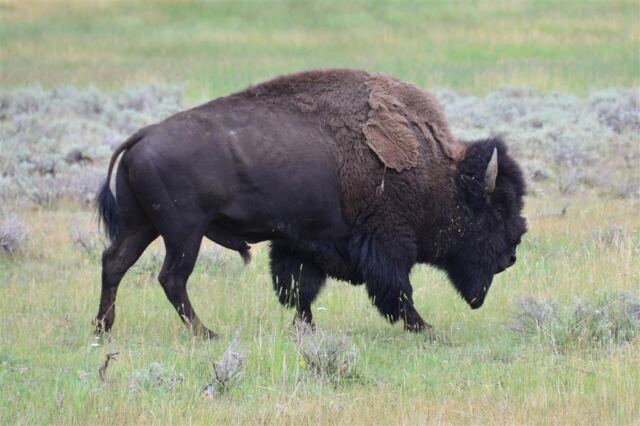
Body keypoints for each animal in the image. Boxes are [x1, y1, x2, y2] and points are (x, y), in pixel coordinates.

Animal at [94, 69, 527, 338]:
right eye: (496, 210)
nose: (511, 256)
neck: (437, 173)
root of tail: (142, 136)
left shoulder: (299, 243)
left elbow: (299, 290)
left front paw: (306, 329)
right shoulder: (387, 245)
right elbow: (397, 290)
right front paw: (424, 328)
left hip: (142, 226)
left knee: (115, 263)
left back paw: (102, 328)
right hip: (184, 233)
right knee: (172, 278)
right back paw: (207, 334)